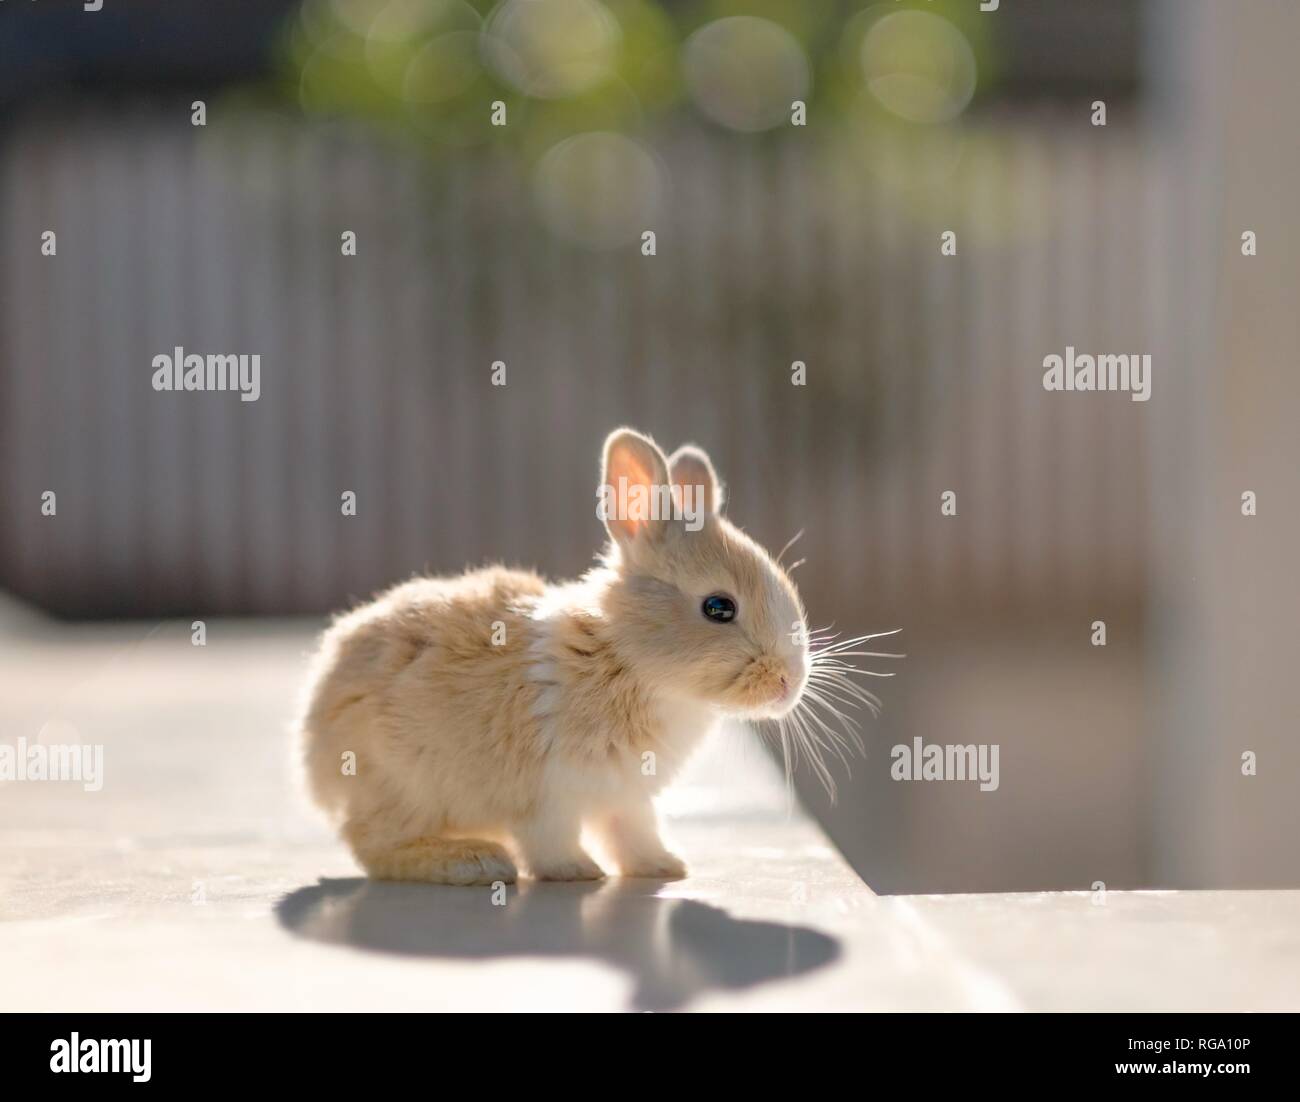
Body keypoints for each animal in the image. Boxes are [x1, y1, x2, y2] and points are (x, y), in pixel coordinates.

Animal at [299, 426, 816, 883]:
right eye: (718, 607)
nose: (789, 681)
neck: (628, 659)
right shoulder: (547, 794)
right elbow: (550, 840)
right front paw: (577, 872)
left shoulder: (626, 795)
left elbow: (633, 832)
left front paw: (664, 866)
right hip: (404, 784)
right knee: (371, 843)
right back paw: (471, 862)